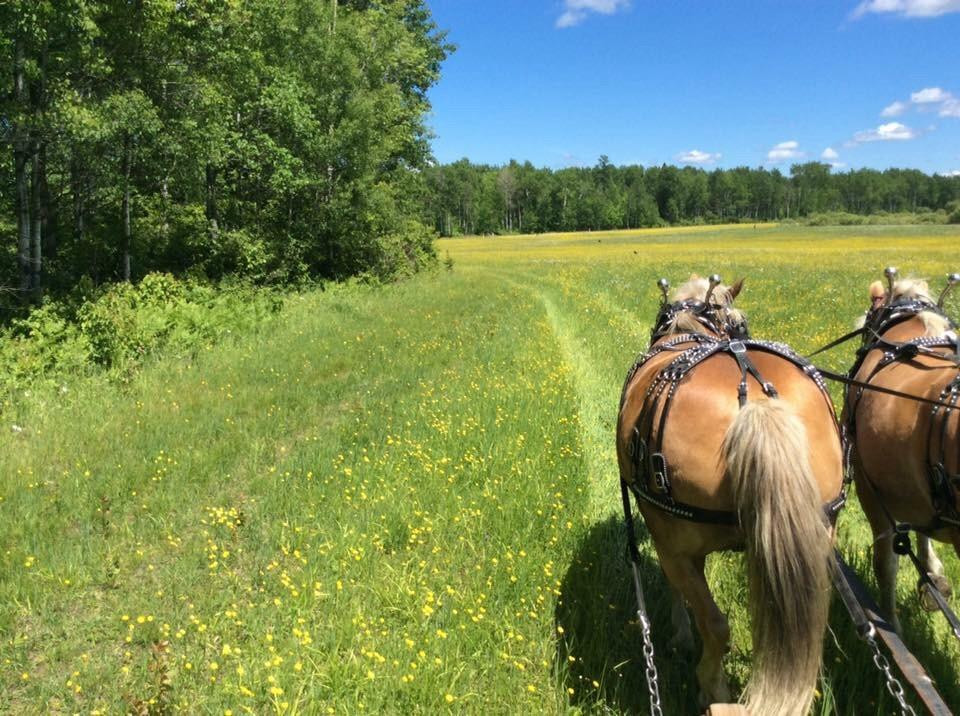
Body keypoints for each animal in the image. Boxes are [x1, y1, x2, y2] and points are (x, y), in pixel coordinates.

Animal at [620, 276, 844, 716]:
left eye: (740, 322)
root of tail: (754, 400)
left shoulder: (669, 541)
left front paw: (680, 637)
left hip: (676, 540)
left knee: (716, 624)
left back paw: (711, 687)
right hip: (816, 533)